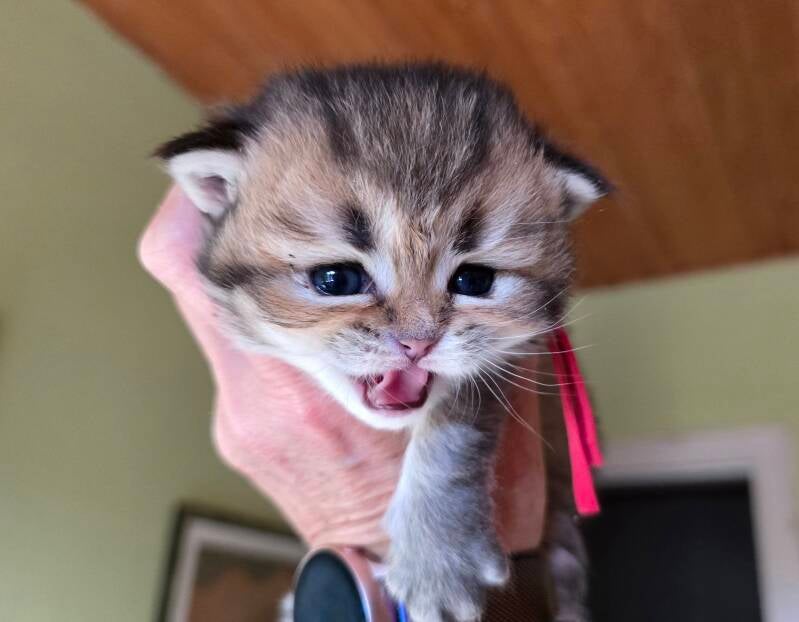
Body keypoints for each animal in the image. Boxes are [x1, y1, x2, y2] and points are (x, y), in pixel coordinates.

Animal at [157, 63, 607, 622]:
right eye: (336, 279)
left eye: (475, 280)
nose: (417, 344)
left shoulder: (511, 359)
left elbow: (456, 430)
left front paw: (439, 559)